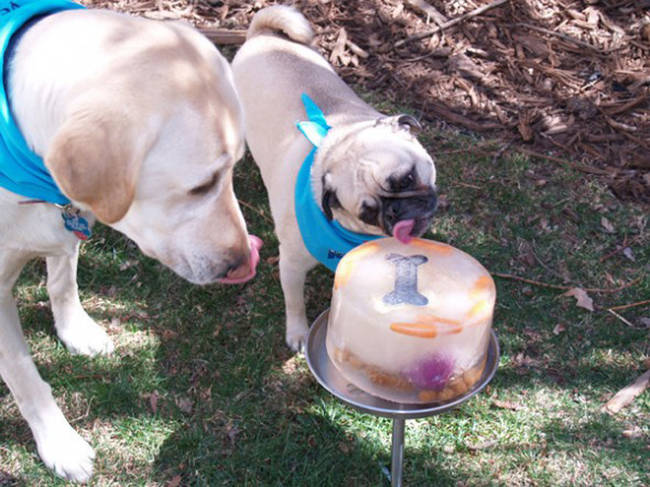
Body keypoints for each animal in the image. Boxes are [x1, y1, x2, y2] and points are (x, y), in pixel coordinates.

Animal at [3, 0, 260, 484]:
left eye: (237, 166)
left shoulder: (68, 220)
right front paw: (59, 442)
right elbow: (23, 373)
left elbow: (62, 281)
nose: (243, 262)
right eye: (201, 185)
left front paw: (75, 331)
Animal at [230, 5, 438, 352]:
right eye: (367, 212)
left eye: (407, 178)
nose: (397, 211)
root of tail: (261, 35)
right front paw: (298, 333)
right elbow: (294, 302)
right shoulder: (291, 265)